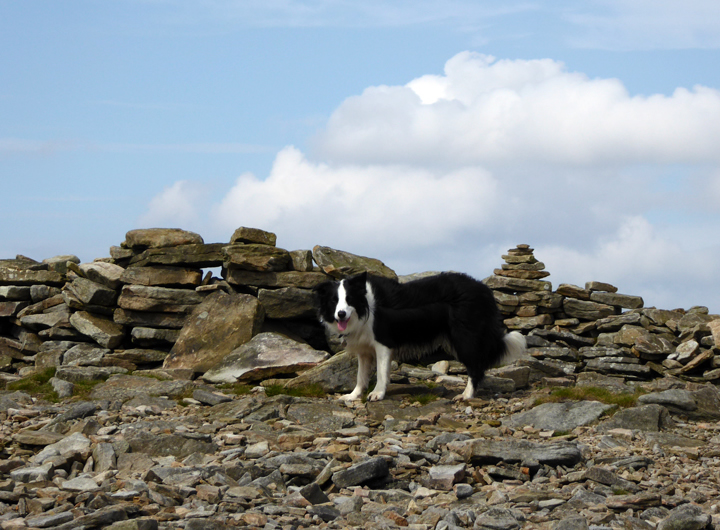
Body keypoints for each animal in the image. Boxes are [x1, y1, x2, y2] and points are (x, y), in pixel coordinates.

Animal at [312, 270, 524, 398]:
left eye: (349, 299)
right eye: (334, 301)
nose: (341, 314)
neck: (365, 308)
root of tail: (485, 290)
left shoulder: (383, 343)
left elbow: (380, 373)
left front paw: (377, 394)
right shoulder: (364, 350)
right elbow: (360, 375)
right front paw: (353, 396)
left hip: (464, 337)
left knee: (476, 368)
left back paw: (466, 395)